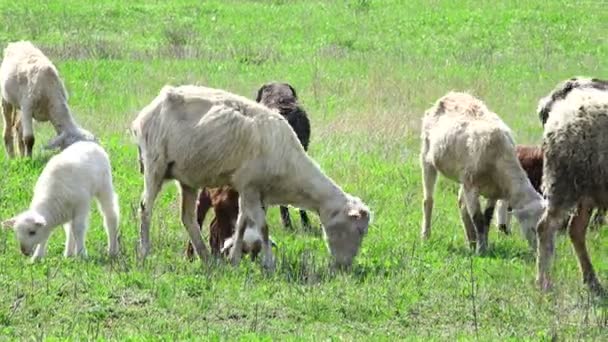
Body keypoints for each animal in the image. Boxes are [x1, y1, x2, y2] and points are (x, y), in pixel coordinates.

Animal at [418, 92, 548, 252]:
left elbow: (487, 218)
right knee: (428, 200)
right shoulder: (472, 188)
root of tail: (451, 94)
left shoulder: (493, 192)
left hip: (463, 177)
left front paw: (484, 245)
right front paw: (481, 251)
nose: (540, 252)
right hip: (427, 157)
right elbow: (478, 219)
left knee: (461, 204)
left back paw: (471, 241)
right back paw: (426, 236)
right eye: (534, 228)